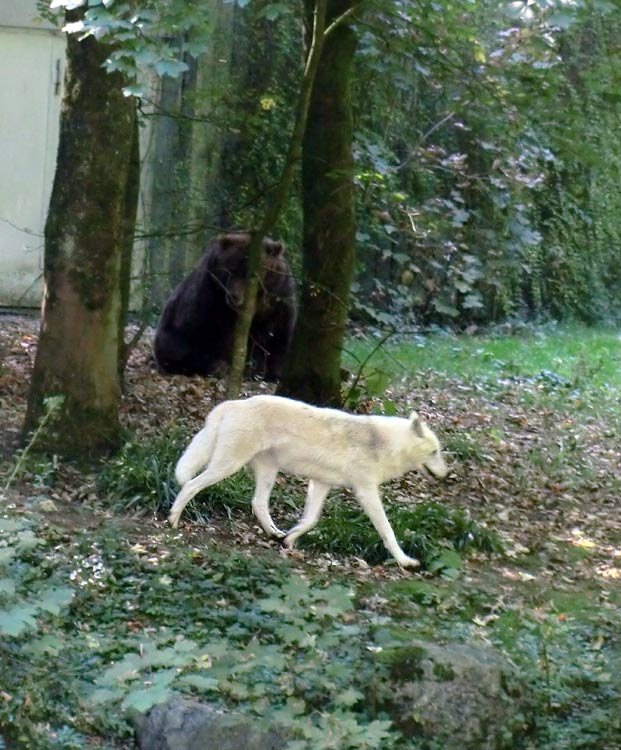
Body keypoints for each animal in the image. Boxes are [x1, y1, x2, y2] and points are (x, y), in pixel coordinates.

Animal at [151, 235, 294, 382]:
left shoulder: (278, 298)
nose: (234, 296)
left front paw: (273, 373)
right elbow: (195, 332)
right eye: (230, 270)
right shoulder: (209, 294)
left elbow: (277, 336)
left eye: (250, 275)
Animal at [167, 396, 448, 568]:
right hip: (227, 467)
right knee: (191, 485)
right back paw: (173, 520)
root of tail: (233, 404)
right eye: (435, 452)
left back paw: (275, 533)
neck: (384, 444)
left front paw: (290, 539)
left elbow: (311, 520)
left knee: (258, 503)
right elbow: (388, 531)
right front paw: (405, 562)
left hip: (267, 472)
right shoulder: (366, 491)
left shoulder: (320, 484)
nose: (446, 474)